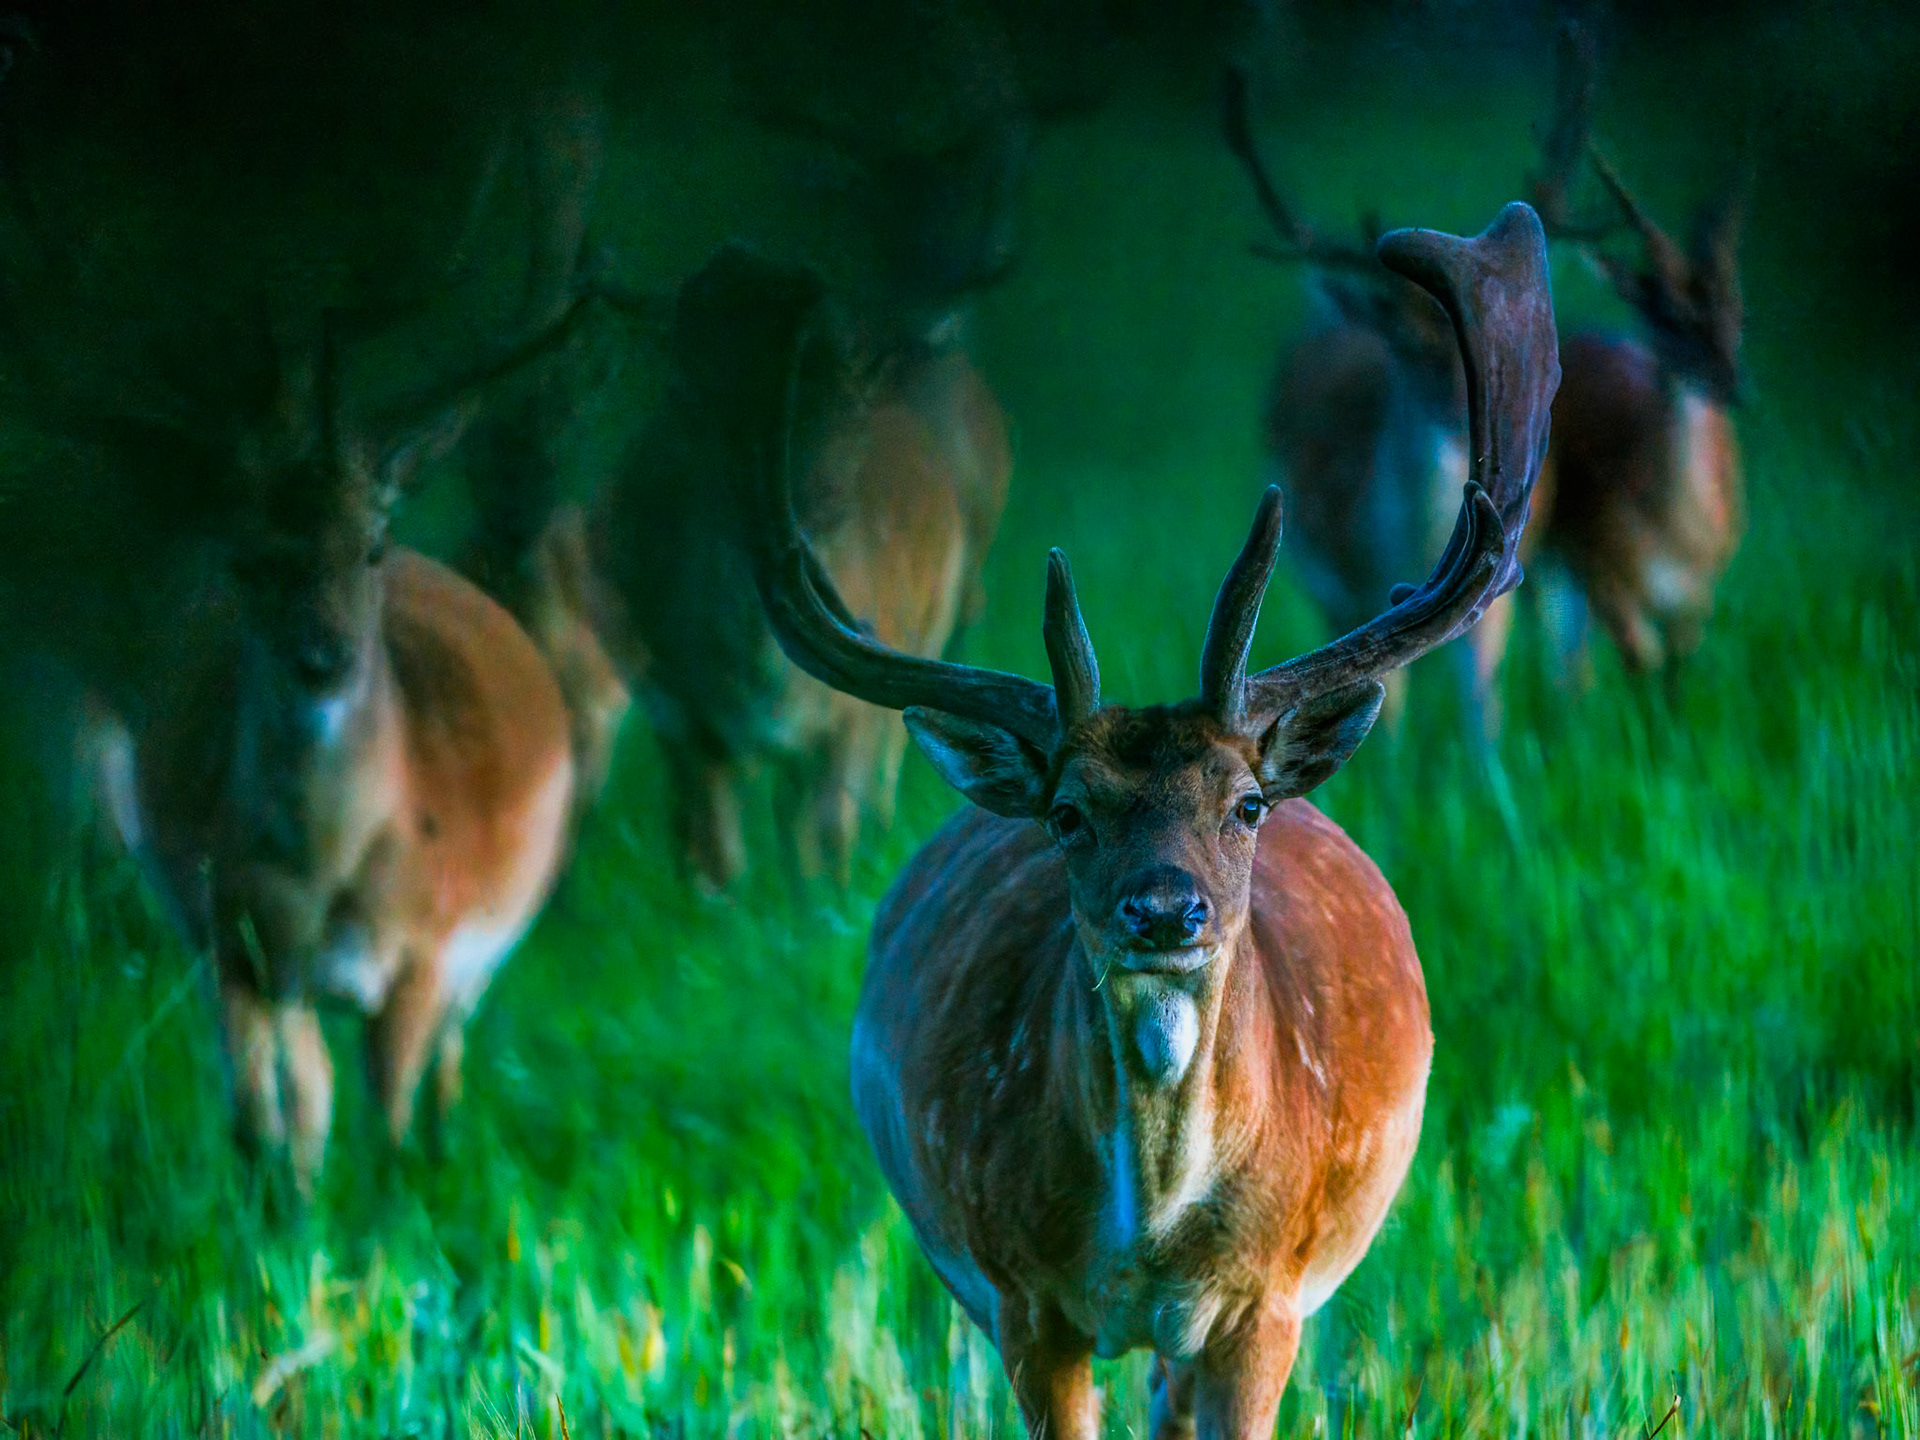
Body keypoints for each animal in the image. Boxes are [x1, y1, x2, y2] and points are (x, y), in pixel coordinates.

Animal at [552, 242, 1010, 889]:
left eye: (836, 383)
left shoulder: (851, 717)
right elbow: (715, 860)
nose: (817, 495)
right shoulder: (682, 718)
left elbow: (827, 839)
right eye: (684, 381)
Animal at [743, 204, 1558, 1438]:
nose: (1165, 911)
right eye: (1068, 813)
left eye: (1246, 804)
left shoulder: (1269, 1300)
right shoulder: (1023, 1299)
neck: (1155, 1227)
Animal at [1223, 68, 1534, 738]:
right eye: (1403, 348)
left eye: (1468, 353)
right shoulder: (1352, 589)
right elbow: (1385, 719)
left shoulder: (1494, 602)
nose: (1458, 416)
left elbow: (1484, 714)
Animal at [1526, 22, 1747, 680]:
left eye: (1739, 316)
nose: (1732, 382)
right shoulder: (1602, 569)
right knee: (1562, 659)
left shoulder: (1699, 599)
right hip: (1551, 554)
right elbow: (1639, 665)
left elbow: (1672, 680)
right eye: (1666, 319)